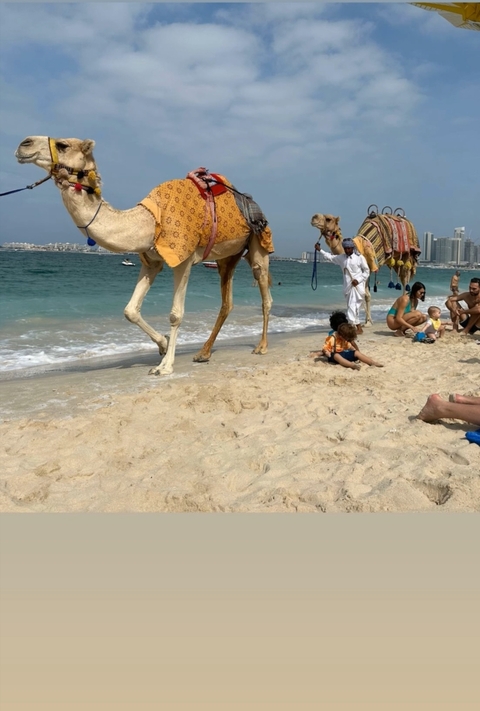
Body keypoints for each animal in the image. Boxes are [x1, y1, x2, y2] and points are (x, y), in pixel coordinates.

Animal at [15, 136, 274, 375]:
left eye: (63, 145)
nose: (24, 144)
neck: (149, 220)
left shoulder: (183, 258)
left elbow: (175, 314)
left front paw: (164, 366)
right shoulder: (151, 261)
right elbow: (130, 310)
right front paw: (163, 344)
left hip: (259, 244)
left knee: (264, 293)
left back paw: (261, 346)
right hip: (227, 257)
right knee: (227, 302)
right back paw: (203, 353)